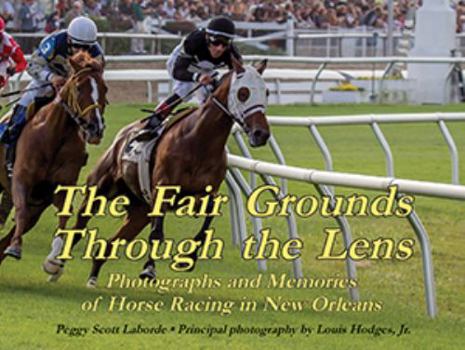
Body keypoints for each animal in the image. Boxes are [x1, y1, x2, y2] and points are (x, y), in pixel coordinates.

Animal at [0, 52, 106, 264]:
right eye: (79, 87)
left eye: (104, 88)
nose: (95, 128)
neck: (55, 137)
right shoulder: (21, 179)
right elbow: (20, 210)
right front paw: (16, 248)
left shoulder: (59, 187)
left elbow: (64, 215)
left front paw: (55, 257)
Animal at [43, 57, 268, 286]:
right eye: (243, 93)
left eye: (266, 91)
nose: (261, 133)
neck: (199, 142)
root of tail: (121, 137)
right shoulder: (163, 190)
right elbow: (157, 233)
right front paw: (149, 269)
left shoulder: (203, 195)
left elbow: (207, 224)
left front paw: (188, 258)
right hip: (99, 188)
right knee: (79, 228)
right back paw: (55, 265)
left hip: (139, 212)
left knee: (108, 245)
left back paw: (92, 278)